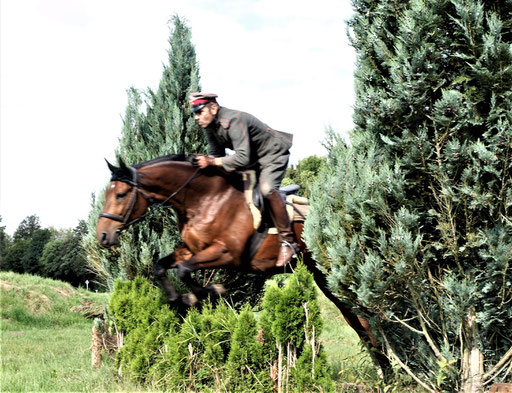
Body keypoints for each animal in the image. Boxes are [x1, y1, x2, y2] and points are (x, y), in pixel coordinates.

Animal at [96, 154, 390, 376]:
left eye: (121, 194)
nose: (102, 236)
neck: (204, 200)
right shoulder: (190, 250)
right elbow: (161, 266)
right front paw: (176, 298)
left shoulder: (226, 253)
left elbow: (186, 271)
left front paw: (207, 293)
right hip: (321, 277)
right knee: (357, 323)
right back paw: (383, 370)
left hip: (328, 273)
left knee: (365, 321)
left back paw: (386, 372)